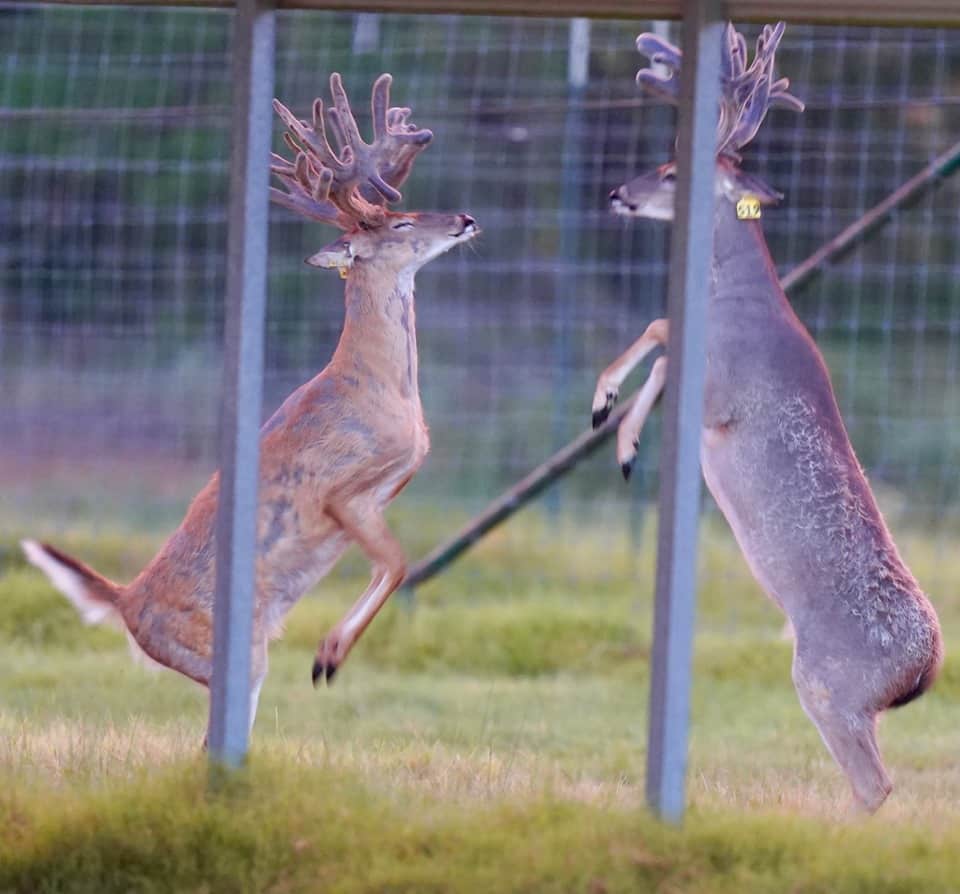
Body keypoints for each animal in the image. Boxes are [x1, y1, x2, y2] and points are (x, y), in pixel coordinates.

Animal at [22, 72, 479, 743]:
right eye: (398, 225)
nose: (466, 218)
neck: (378, 386)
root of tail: (125, 602)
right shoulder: (343, 489)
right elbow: (398, 562)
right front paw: (326, 657)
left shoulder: (388, 487)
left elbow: (394, 563)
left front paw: (328, 656)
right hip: (222, 653)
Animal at [591, 22, 943, 812]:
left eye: (671, 170)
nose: (617, 193)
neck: (738, 300)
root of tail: (923, 672)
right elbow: (661, 337)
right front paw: (613, 421)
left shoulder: (722, 385)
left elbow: (662, 331)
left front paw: (614, 425)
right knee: (878, 782)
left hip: (826, 682)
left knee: (876, 783)